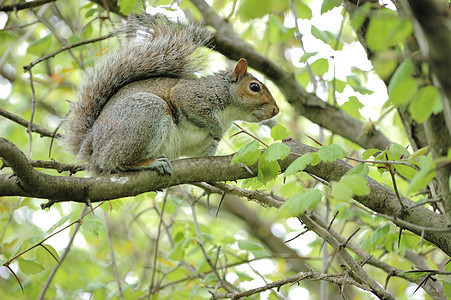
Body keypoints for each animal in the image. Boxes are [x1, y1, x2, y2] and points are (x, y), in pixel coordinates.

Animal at [64, 14, 278, 176]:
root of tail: (90, 148)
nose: (276, 111)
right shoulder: (191, 95)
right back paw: (149, 163)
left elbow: (202, 153)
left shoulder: (203, 146)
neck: (230, 113)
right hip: (144, 116)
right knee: (113, 161)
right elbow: (190, 106)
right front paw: (216, 128)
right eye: (254, 87)